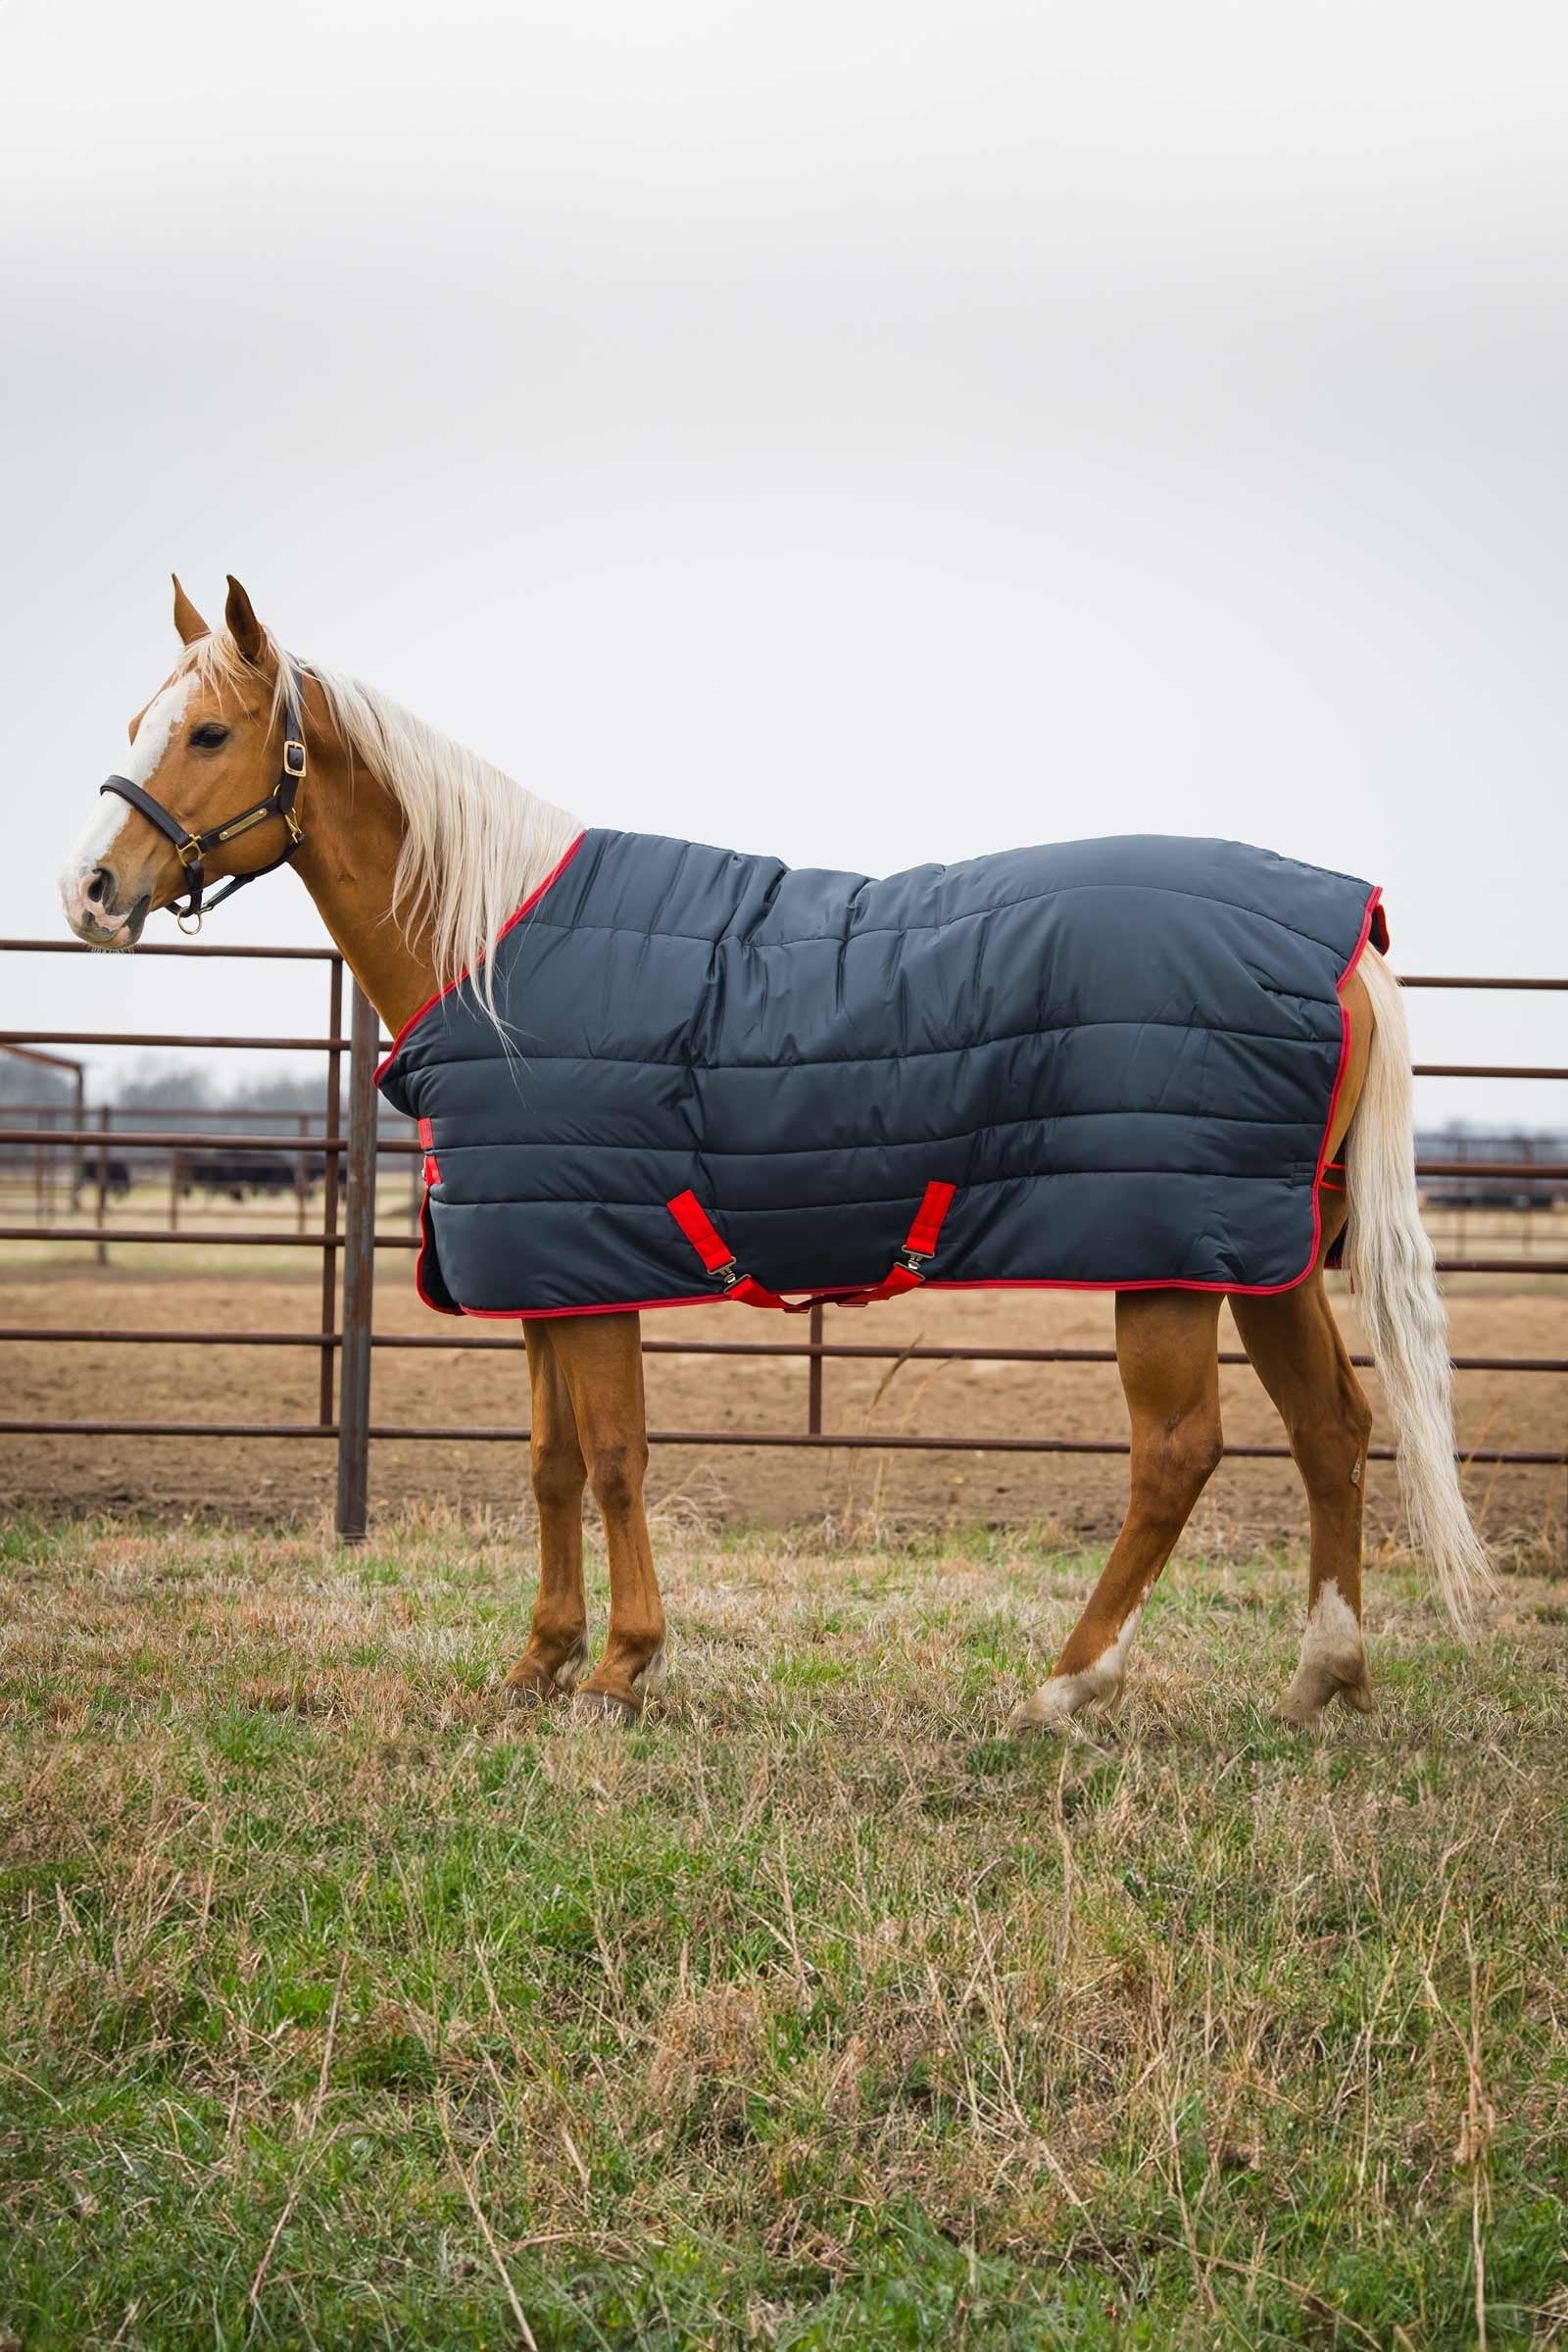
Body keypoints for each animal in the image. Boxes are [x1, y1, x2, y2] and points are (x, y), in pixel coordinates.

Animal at [58, 575, 1494, 1728]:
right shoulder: (541, 1270)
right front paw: (538, 1661)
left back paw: (1067, 1684)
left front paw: (622, 1668)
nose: (88, 891)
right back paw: (1321, 1679)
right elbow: (551, 1465)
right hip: (1261, 1249)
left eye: (207, 732)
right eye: (134, 726)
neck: (498, 953)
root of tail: (1346, 938)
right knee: (1331, 1426)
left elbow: (617, 1459)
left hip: (1163, 1251)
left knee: (1178, 1455)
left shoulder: (594, 1270)